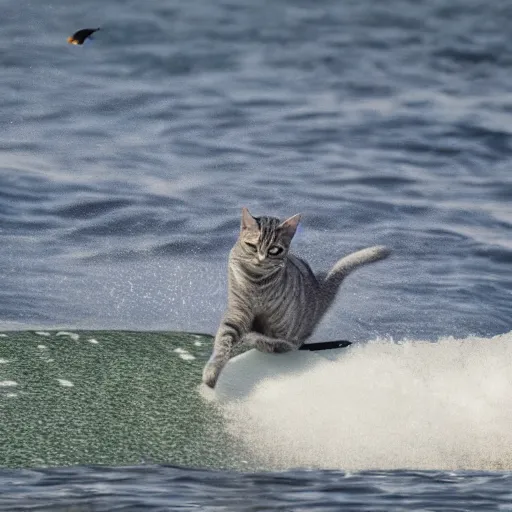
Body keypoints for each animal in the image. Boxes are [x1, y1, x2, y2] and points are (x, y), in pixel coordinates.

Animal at [202, 208, 390, 388]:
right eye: (253, 246)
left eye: (274, 250)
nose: (261, 259)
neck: (257, 282)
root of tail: (318, 291)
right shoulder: (238, 311)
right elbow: (224, 341)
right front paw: (212, 372)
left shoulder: (281, 328)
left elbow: (276, 341)